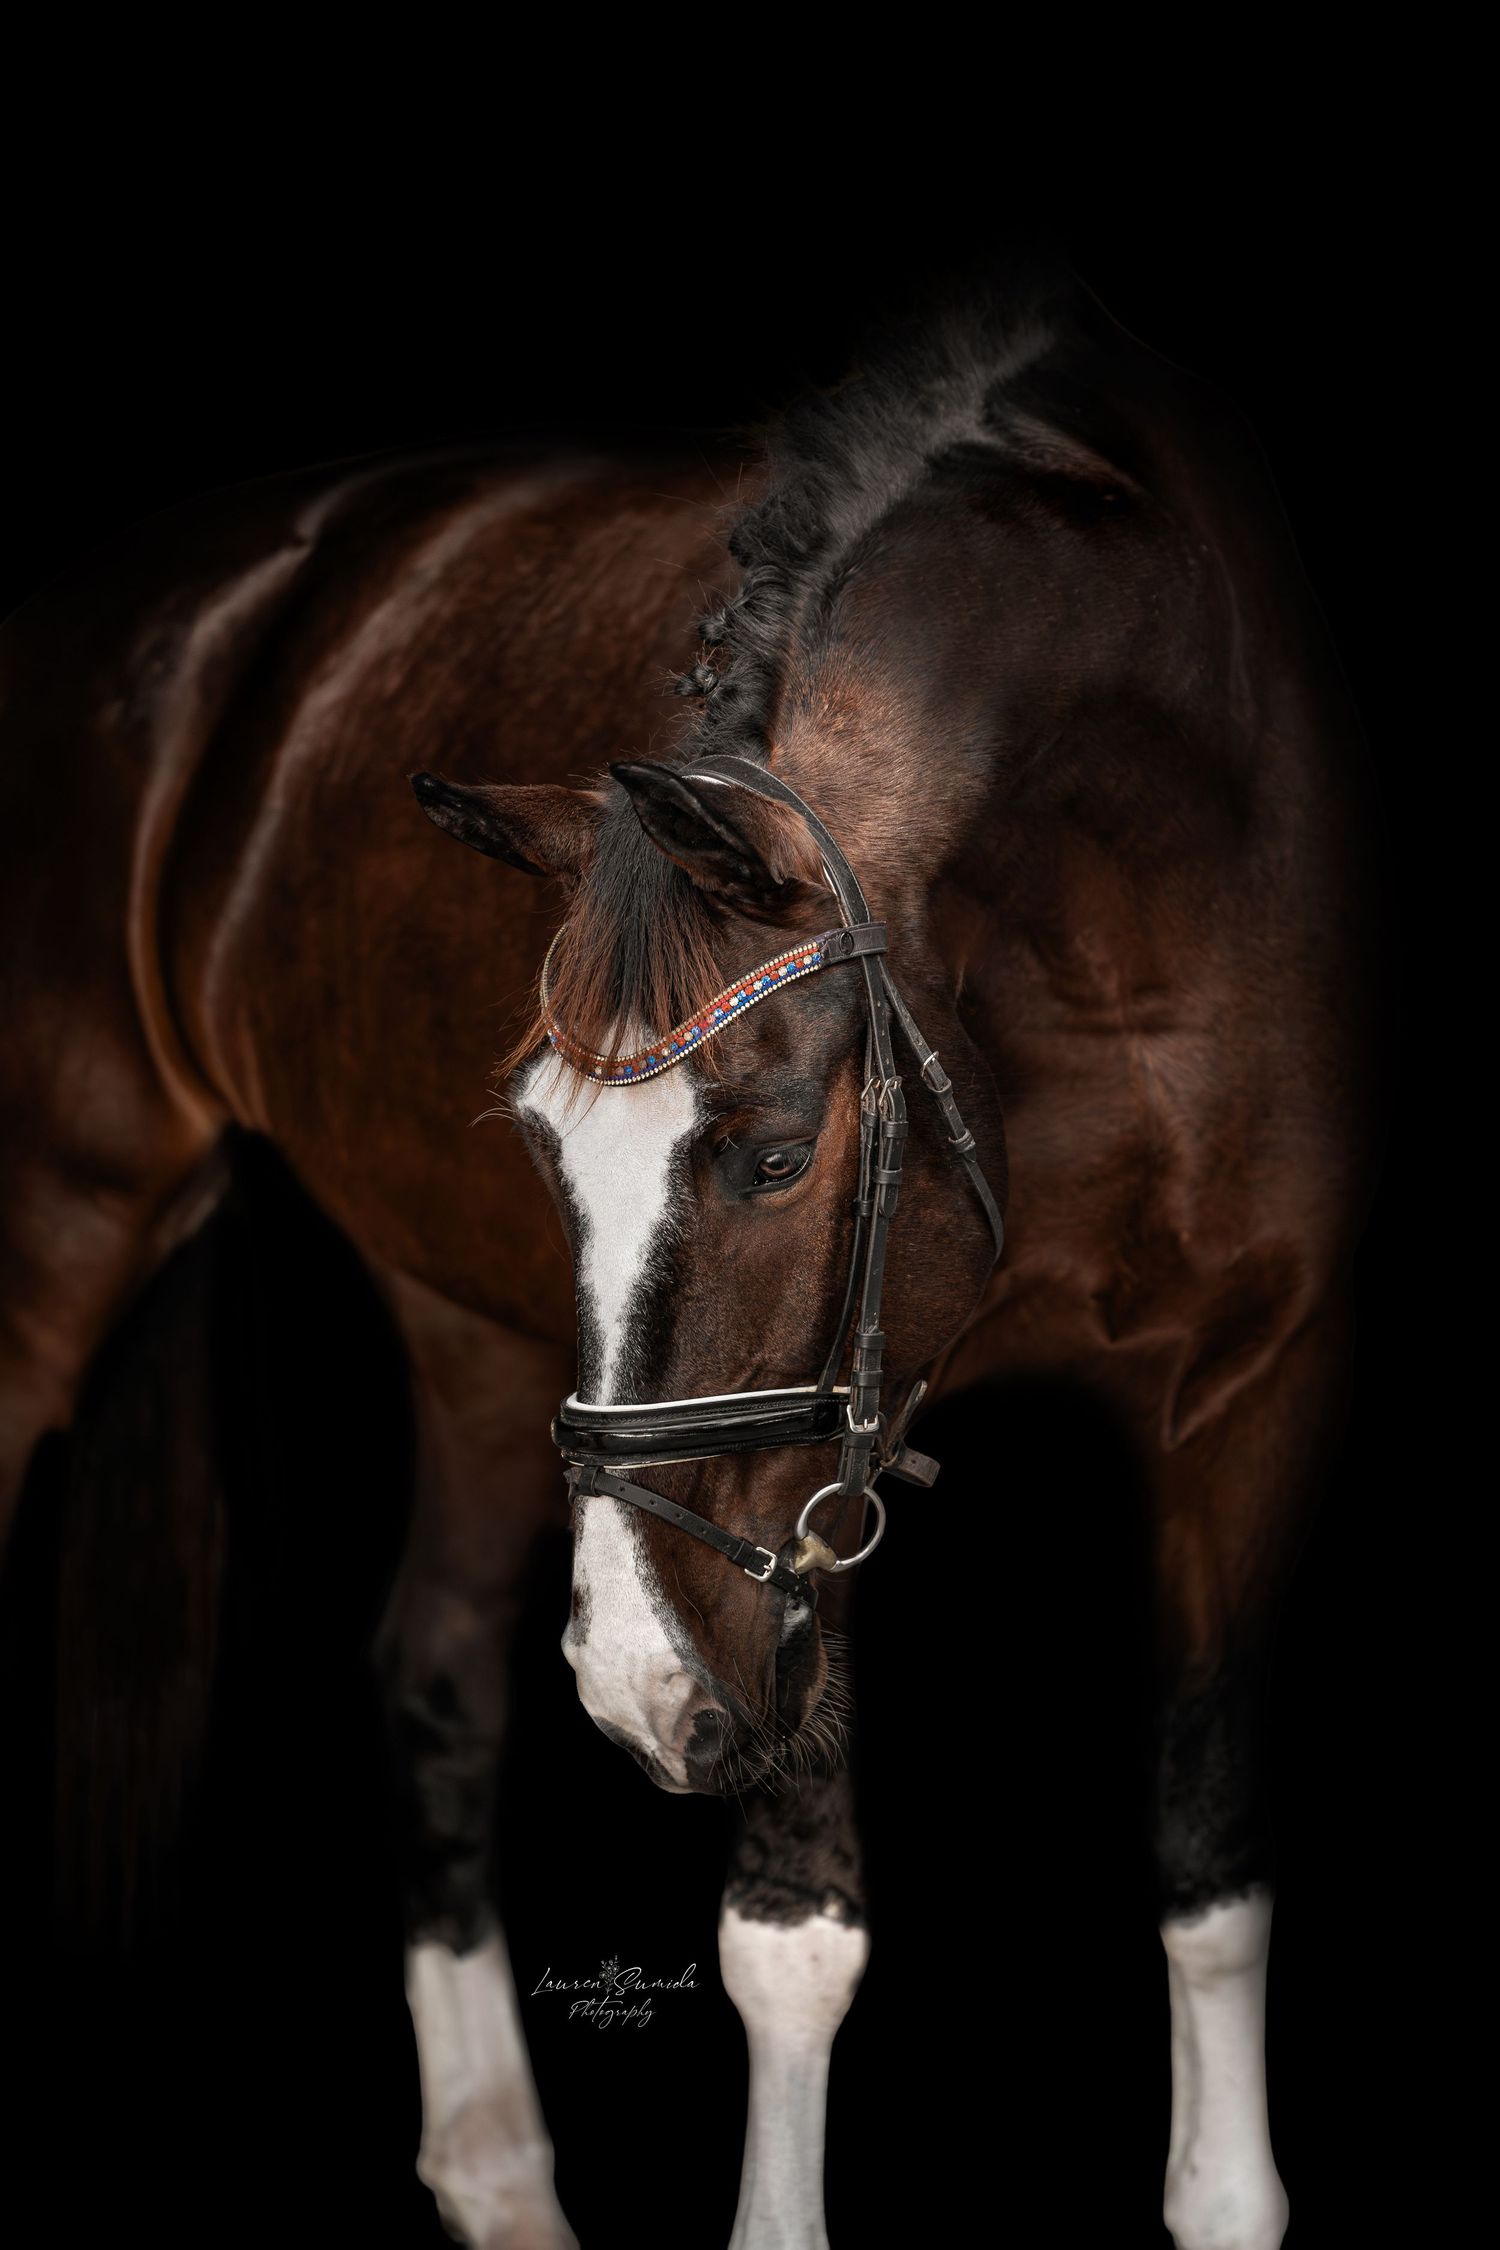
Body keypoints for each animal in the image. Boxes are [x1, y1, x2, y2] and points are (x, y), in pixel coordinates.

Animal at [0, 257, 1383, 2250]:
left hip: (473, 1337)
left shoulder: (1258, 1377)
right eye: (544, 1152)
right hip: (70, 1229)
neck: (1139, 877)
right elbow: (793, 1944)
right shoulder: (827, 1469)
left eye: (780, 1154)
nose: (641, 1687)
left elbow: (1209, 1873)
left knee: (429, 1672)